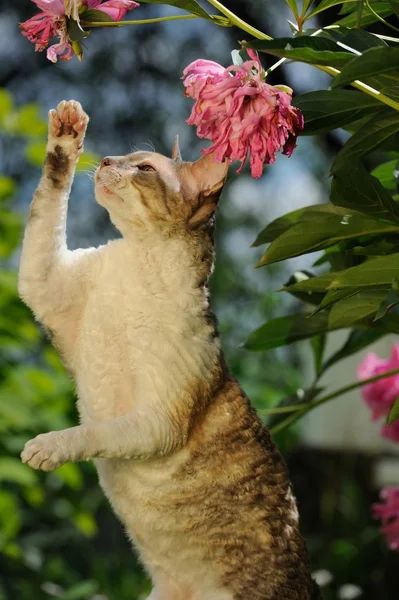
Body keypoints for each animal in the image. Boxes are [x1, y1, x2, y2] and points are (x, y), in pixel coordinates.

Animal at [19, 102, 322, 600]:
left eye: (143, 169)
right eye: (124, 155)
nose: (106, 160)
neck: (138, 267)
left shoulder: (160, 419)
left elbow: (94, 431)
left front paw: (48, 446)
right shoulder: (43, 284)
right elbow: (46, 205)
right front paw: (66, 133)